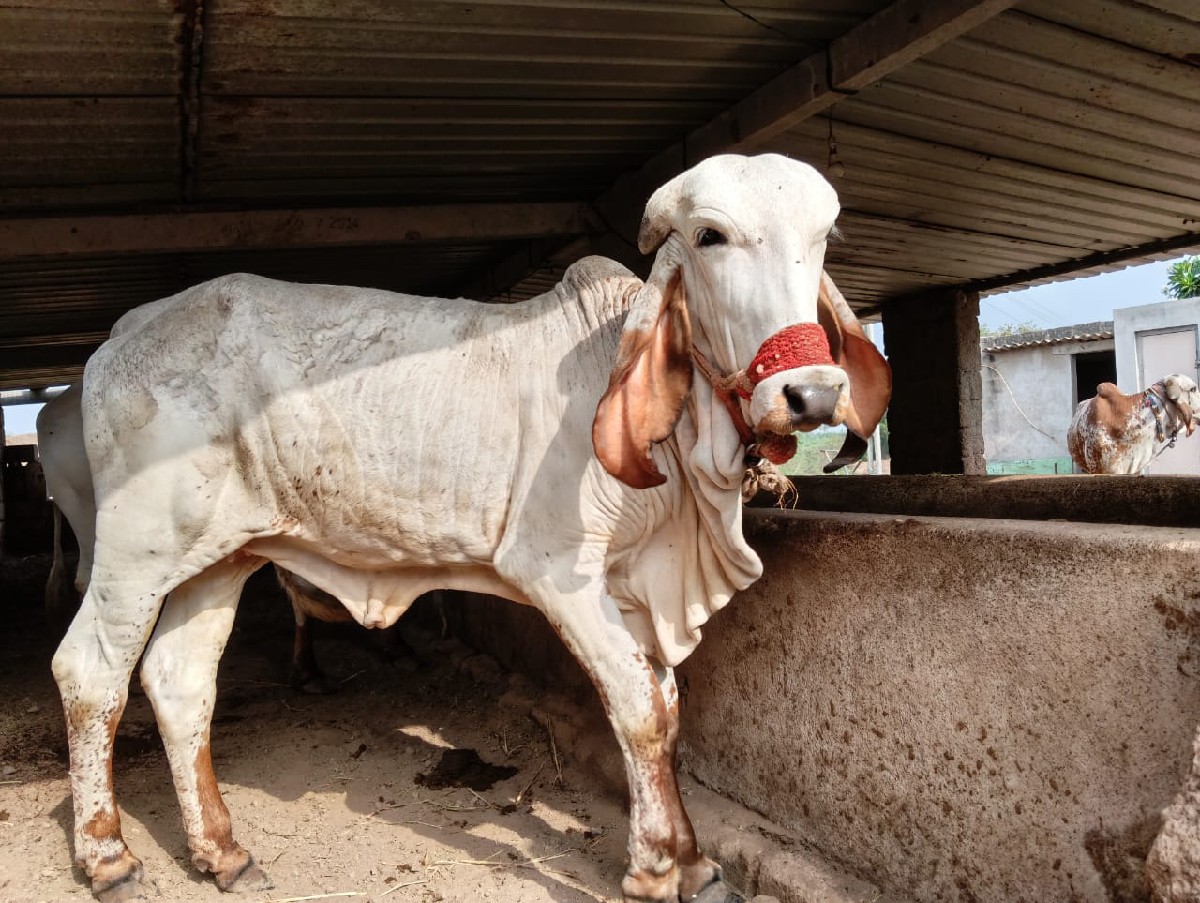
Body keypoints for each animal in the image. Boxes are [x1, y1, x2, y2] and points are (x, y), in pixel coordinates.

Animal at [50, 153, 891, 903]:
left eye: (823, 235)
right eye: (711, 235)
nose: (812, 393)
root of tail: (122, 336)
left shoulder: (631, 584)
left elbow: (669, 706)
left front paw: (693, 861)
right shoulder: (560, 573)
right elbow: (642, 712)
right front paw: (655, 869)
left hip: (218, 556)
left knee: (180, 682)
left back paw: (222, 852)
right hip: (134, 553)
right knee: (90, 673)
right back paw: (109, 857)